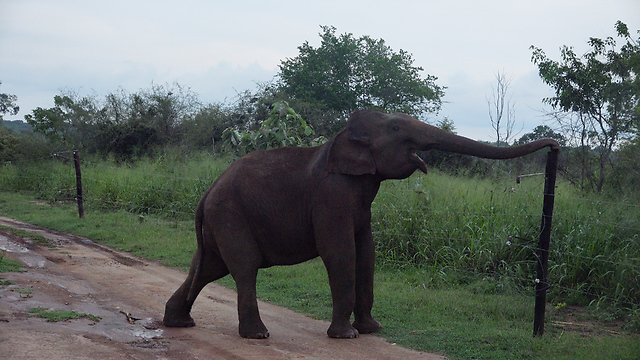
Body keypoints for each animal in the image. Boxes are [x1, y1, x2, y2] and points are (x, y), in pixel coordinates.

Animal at [165, 109, 560, 338]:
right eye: (397, 126)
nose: (555, 145)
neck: (343, 137)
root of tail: (206, 193)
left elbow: (366, 253)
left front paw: (372, 330)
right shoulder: (332, 196)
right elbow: (339, 252)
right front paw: (347, 336)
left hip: (220, 223)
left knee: (209, 268)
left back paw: (178, 322)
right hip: (231, 216)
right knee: (244, 267)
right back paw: (257, 335)